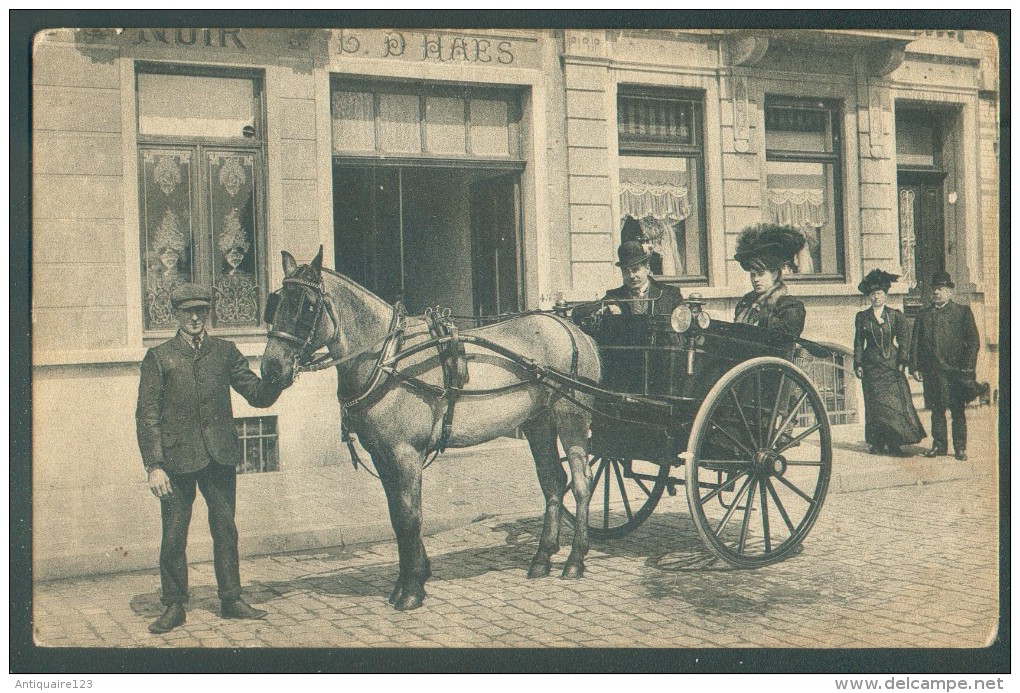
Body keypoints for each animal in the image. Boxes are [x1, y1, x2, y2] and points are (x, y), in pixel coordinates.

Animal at [259, 246, 599, 608]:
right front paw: (410, 579)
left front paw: (411, 589)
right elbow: (397, 516)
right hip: (538, 422)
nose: (271, 369)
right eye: (276, 301)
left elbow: (410, 516)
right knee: (553, 482)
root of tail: (572, 329)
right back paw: (542, 558)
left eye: (308, 306)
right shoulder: (382, 454)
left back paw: (575, 559)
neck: (388, 358)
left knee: (581, 482)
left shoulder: (405, 453)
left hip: (571, 417)